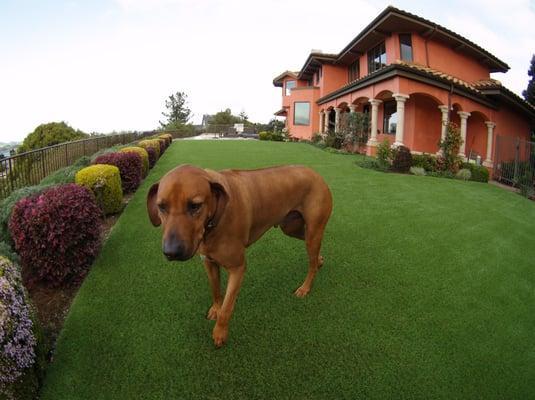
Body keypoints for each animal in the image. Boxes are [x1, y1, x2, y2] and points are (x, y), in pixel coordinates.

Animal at [147, 164, 330, 346]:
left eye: (195, 205)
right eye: (161, 206)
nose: (171, 252)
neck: (215, 217)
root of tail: (315, 173)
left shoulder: (237, 268)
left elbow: (227, 307)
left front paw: (220, 332)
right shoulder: (209, 262)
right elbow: (215, 289)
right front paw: (215, 308)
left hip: (312, 231)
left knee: (311, 263)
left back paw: (305, 287)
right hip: (291, 227)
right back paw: (319, 259)